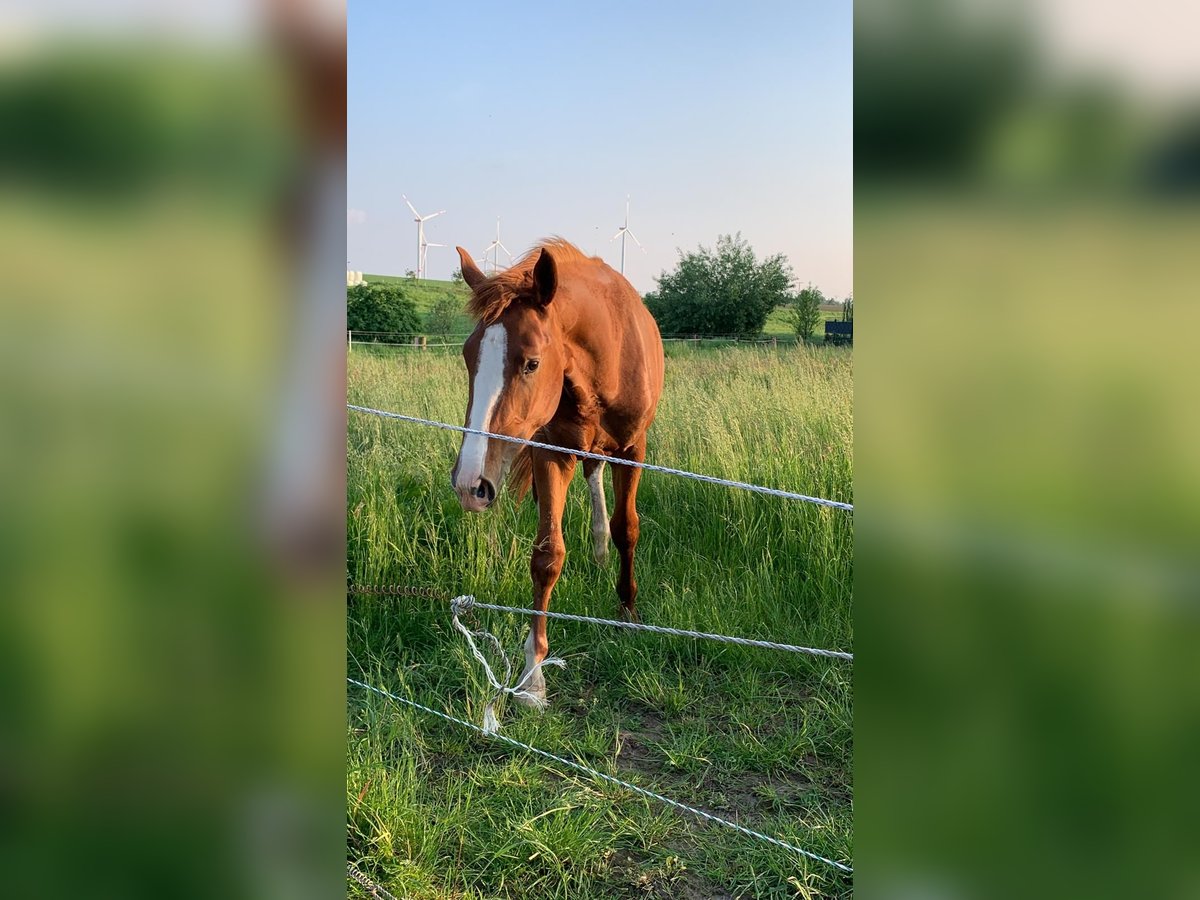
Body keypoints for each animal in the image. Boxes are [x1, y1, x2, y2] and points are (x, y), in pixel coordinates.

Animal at [451, 240, 667, 710]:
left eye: (531, 363)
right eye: (467, 356)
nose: (469, 484)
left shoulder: (633, 451)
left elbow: (628, 528)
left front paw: (628, 610)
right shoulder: (553, 454)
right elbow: (547, 556)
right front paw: (533, 676)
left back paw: (602, 550)